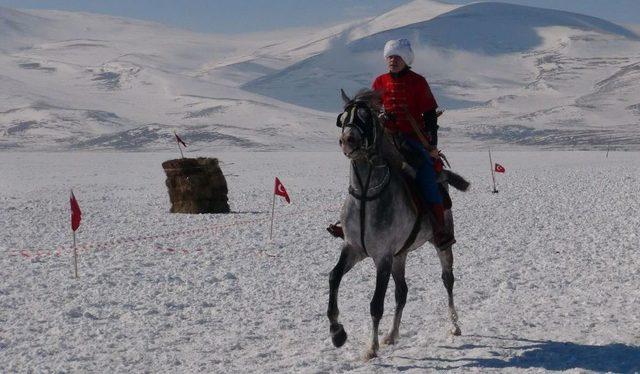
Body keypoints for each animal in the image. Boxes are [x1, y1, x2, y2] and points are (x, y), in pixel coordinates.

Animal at [328, 87, 468, 360]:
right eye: (343, 117)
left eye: (366, 118)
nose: (347, 140)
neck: (366, 196)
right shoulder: (353, 249)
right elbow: (333, 277)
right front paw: (337, 332)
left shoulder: (382, 256)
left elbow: (376, 304)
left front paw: (371, 348)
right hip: (400, 255)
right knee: (402, 292)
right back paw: (392, 335)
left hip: (441, 244)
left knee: (447, 280)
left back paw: (455, 325)